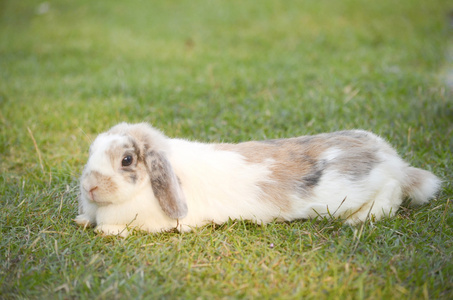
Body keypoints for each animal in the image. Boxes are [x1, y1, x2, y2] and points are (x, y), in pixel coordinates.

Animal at [73, 122, 438, 237]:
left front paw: (107, 230)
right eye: (91, 150)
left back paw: (358, 220)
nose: (89, 187)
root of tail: (393, 159)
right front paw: (82, 220)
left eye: (126, 160)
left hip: (369, 188)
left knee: (391, 195)